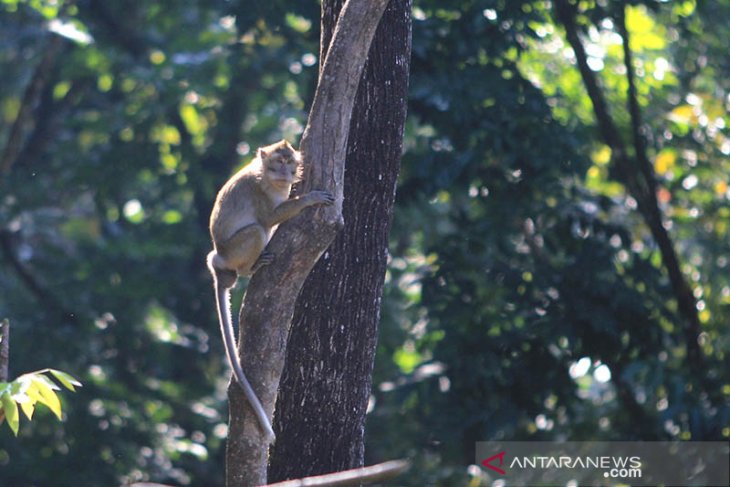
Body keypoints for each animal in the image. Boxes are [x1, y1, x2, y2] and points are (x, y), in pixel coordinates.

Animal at [206, 140, 334, 442]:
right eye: (279, 162)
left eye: (289, 162)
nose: (286, 174)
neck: (267, 176)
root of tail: (219, 262)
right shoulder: (260, 191)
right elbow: (269, 217)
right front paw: (308, 199)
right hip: (236, 251)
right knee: (256, 230)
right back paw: (250, 268)